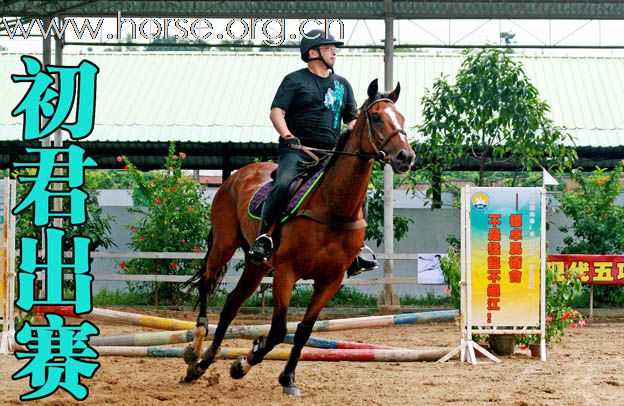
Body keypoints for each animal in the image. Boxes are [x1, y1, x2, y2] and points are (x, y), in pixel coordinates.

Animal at [182, 79, 414, 396]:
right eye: (377, 117)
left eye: (401, 117)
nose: (405, 157)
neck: (332, 206)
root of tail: (236, 175)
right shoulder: (286, 271)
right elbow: (279, 329)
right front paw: (243, 363)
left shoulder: (331, 279)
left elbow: (304, 330)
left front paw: (287, 378)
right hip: (224, 244)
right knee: (207, 283)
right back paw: (195, 350)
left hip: (257, 265)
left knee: (231, 304)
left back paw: (204, 362)